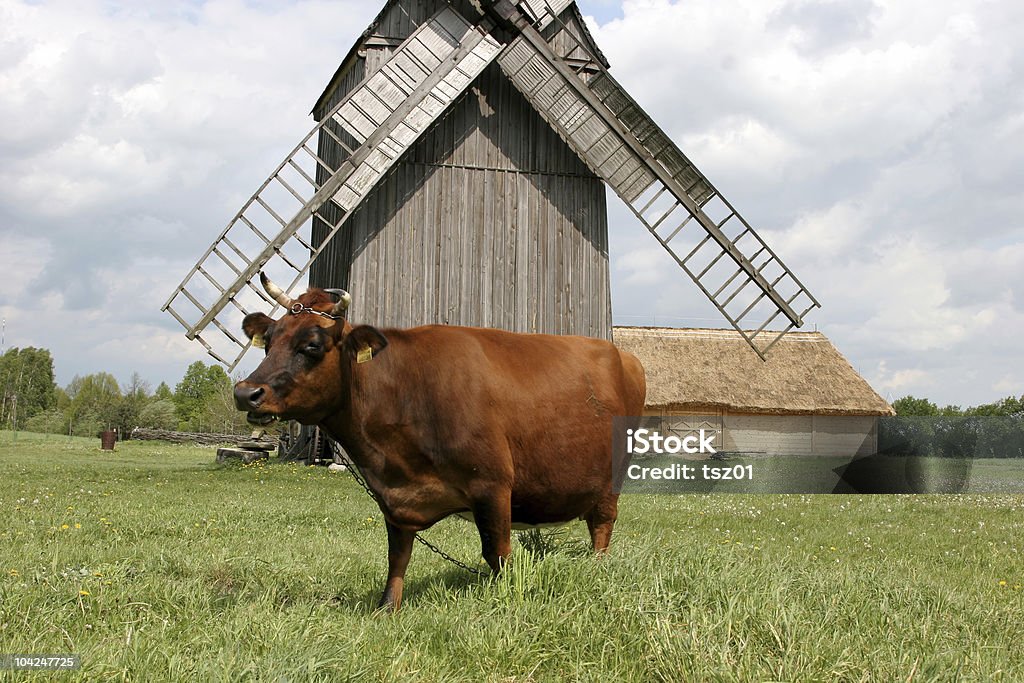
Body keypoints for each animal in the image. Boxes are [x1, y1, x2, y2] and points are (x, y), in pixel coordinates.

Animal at [235, 272, 643, 610]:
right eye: (268, 342)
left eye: (313, 345)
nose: (245, 393)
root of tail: (622, 354)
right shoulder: (392, 499)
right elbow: (397, 557)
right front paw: (387, 608)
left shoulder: (493, 485)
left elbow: (497, 552)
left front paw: (506, 599)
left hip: (612, 479)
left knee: (602, 525)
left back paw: (597, 567)